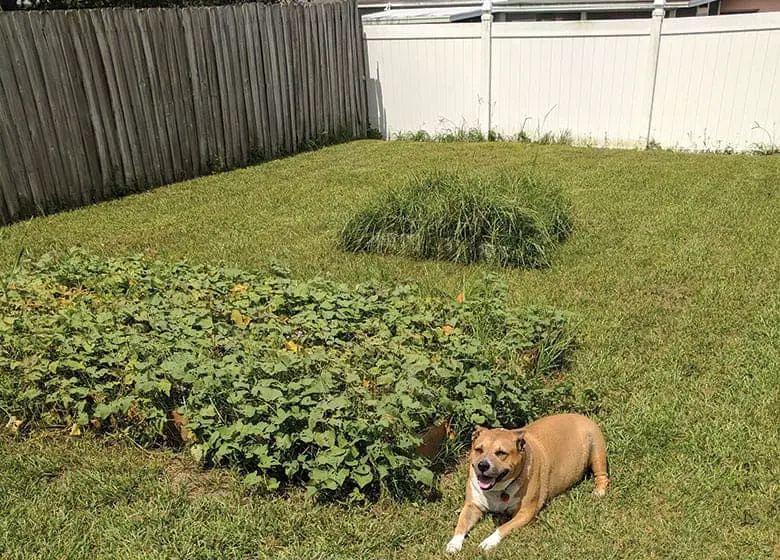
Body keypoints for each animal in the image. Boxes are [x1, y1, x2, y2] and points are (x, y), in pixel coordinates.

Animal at [444, 414, 608, 552]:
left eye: (501, 453)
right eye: (478, 449)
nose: (483, 465)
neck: (499, 489)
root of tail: (581, 415)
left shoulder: (525, 512)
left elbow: (503, 527)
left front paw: (489, 541)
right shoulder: (472, 506)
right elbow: (461, 524)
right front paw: (453, 544)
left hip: (596, 451)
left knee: (602, 475)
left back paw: (599, 492)